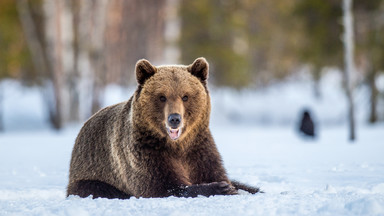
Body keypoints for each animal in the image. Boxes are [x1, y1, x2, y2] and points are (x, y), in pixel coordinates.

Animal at [67, 57, 260, 199]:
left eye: (185, 96)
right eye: (162, 97)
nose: (174, 119)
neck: (178, 145)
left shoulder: (199, 149)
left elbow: (217, 173)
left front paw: (241, 188)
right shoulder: (145, 152)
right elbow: (162, 186)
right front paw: (219, 188)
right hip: (91, 174)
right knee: (99, 188)